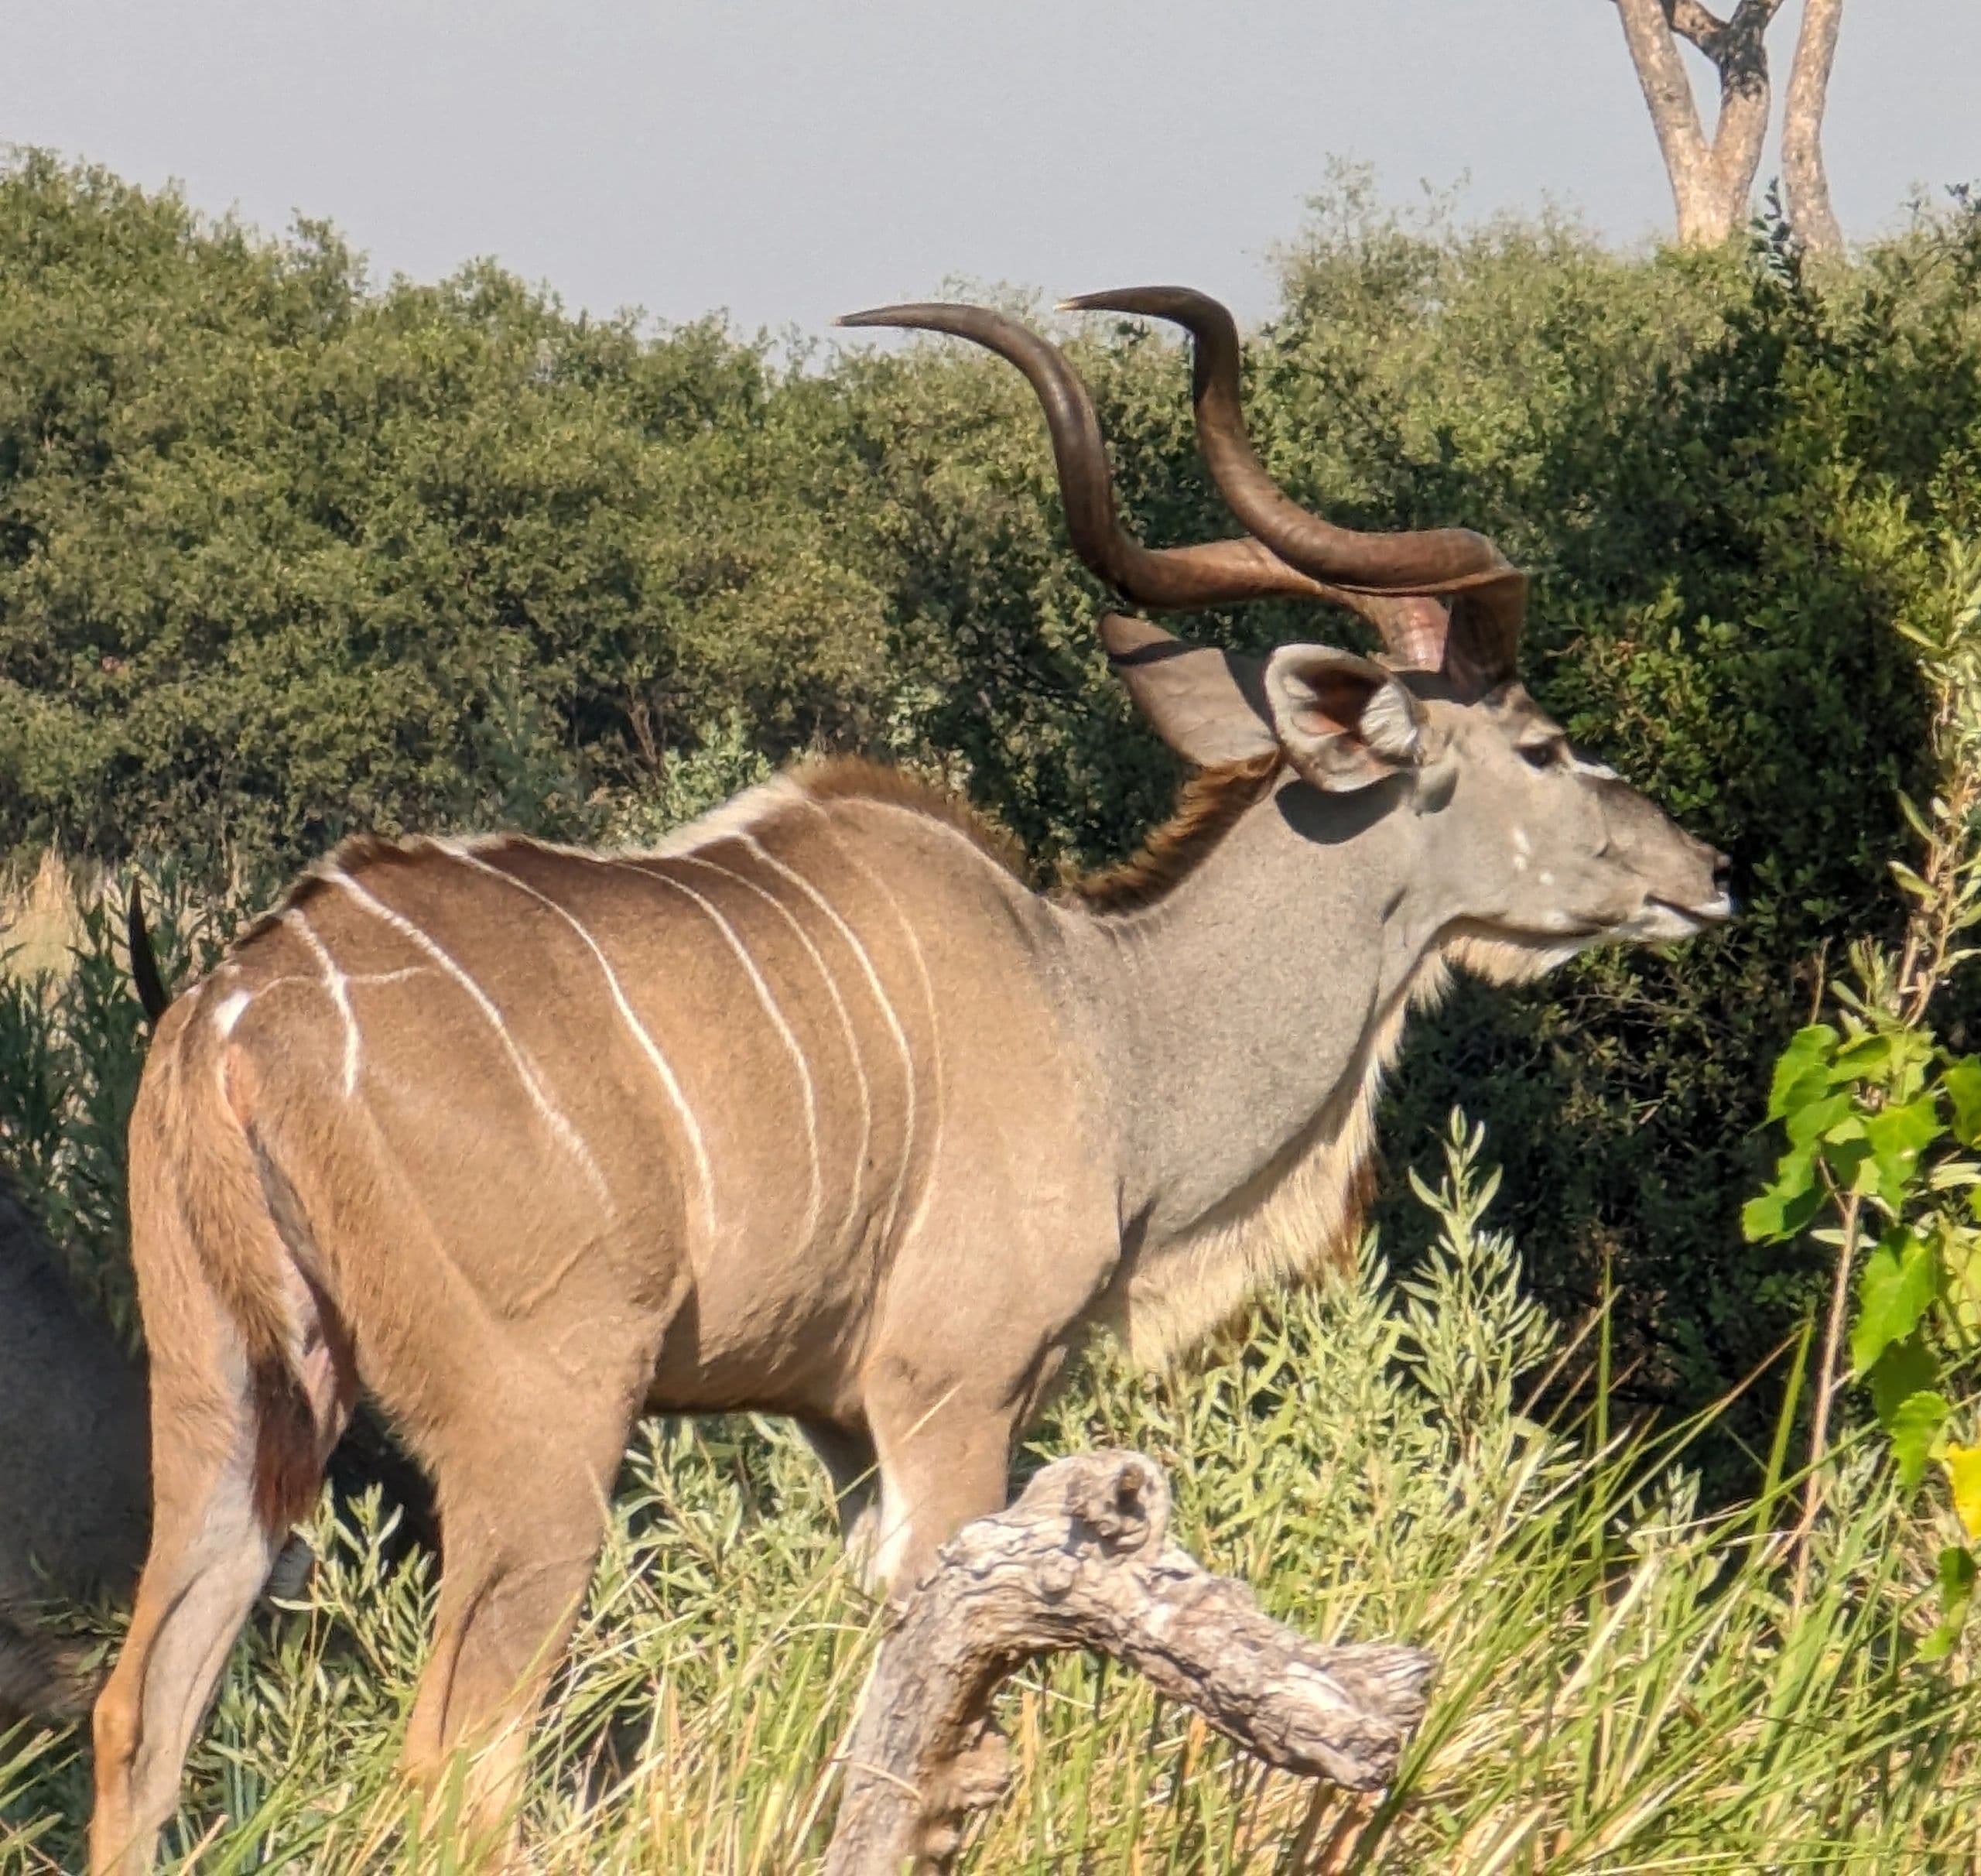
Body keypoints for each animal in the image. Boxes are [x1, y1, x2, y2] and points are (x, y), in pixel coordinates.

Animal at [90, 288, 1731, 1872]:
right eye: (1545, 744)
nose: (1704, 871)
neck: (1107, 1014)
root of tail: (231, 1017)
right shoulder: (955, 1390)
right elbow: (947, 1732)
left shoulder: (841, 1424)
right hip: (541, 1429)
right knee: (453, 1760)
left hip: (229, 1394)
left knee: (138, 1708)